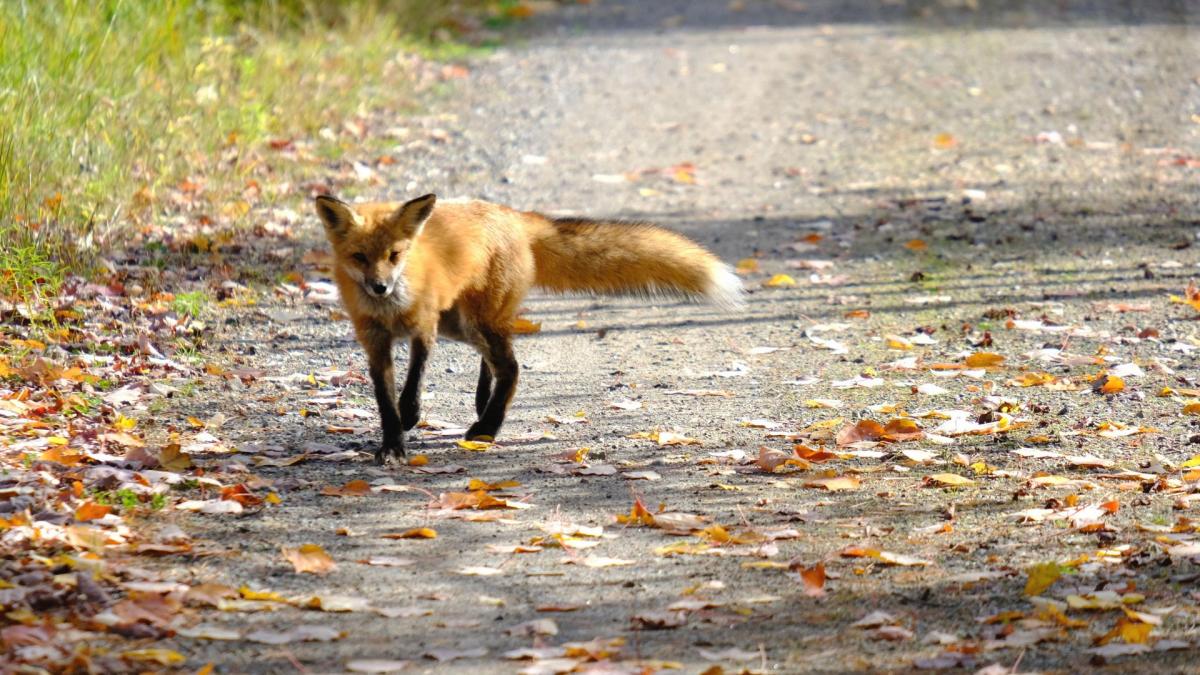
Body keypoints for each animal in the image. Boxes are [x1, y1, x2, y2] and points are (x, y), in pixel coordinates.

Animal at [314, 192, 739, 458]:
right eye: (359, 256)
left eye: (395, 255)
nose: (380, 287)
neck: (390, 310)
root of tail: (516, 216)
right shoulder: (375, 342)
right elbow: (385, 400)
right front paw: (392, 446)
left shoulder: (424, 326)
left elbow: (413, 382)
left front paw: (410, 416)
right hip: (463, 324)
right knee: (495, 361)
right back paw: (482, 402)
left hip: (473, 321)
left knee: (512, 368)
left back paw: (487, 427)